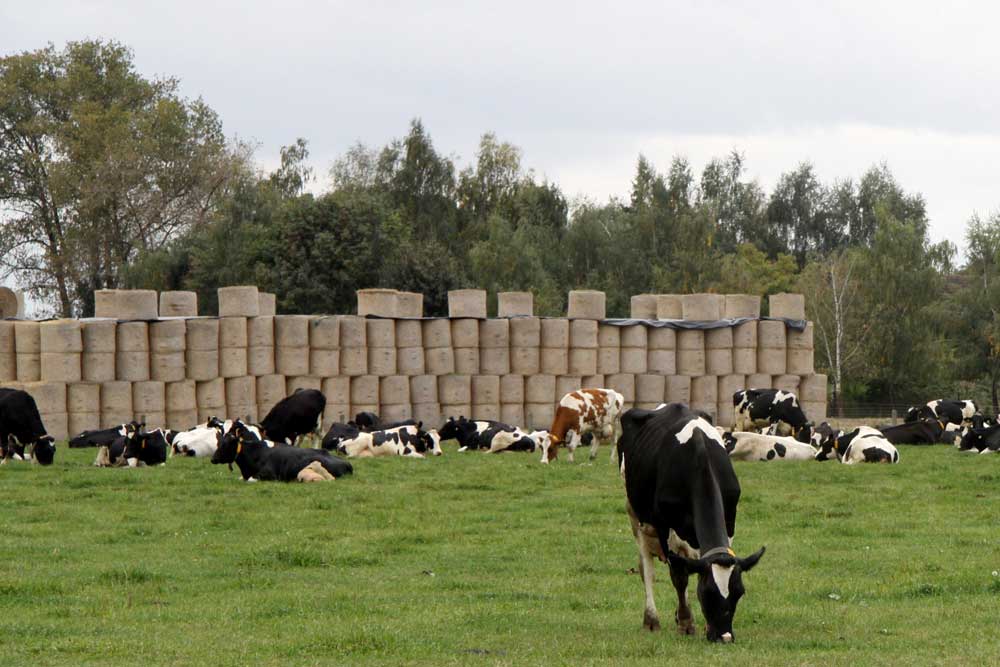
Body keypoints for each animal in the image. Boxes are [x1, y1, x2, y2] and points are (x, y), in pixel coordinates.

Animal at [212, 420, 353, 482]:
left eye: (226, 445)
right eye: (219, 442)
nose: (213, 459)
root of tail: (346, 463)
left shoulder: (269, 475)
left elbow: (252, 479)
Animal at [618, 403, 765, 643]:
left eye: (739, 592)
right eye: (708, 593)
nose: (724, 636)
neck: (700, 459)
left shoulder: (730, 520)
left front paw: (699, 624)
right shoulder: (664, 527)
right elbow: (679, 576)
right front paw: (686, 623)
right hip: (635, 516)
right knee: (646, 569)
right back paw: (651, 620)